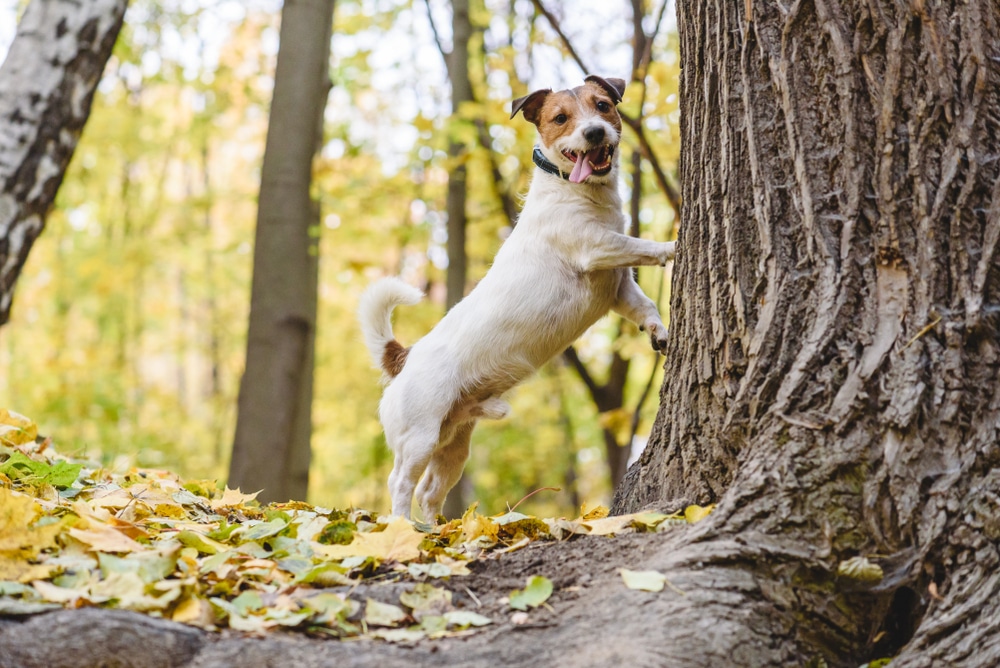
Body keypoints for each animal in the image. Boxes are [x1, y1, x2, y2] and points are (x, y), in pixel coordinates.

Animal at [356, 75, 676, 520]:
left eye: (602, 105)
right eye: (560, 118)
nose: (594, 132)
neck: (576, 190)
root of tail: (403, 358)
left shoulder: (618, 287)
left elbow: (644, 305)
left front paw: (659, 333)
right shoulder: (596, 247)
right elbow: (643, 246)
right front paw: (676, 244)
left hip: (454, 442)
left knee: (430, 491)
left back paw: (435, 530)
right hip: (419, 436)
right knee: (401, 483)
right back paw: (401, 527)